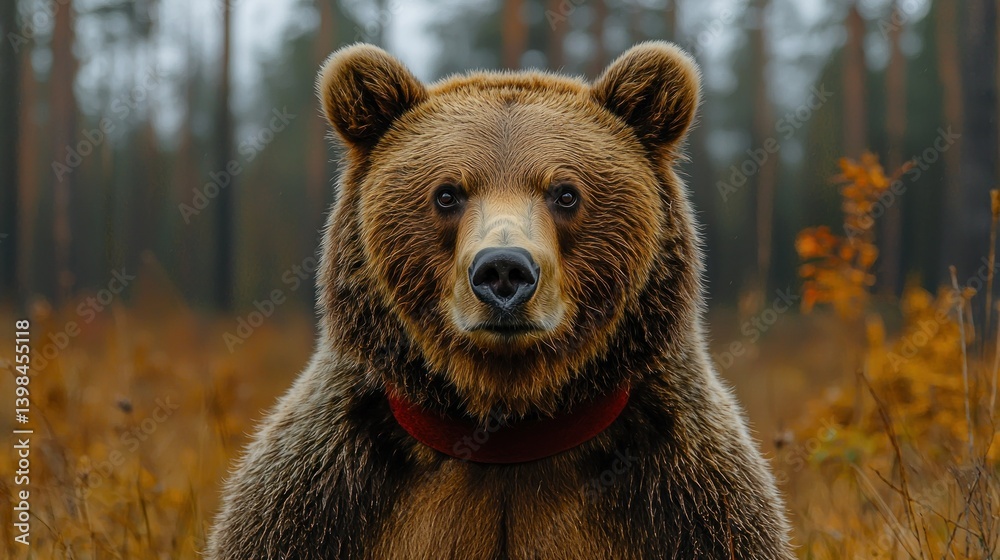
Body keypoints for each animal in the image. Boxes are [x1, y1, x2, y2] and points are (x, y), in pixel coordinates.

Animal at [208, 41, 795, 559]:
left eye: (566, 193)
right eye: (447, 193)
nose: (504, 271)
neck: (510, 432)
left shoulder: (681, 502)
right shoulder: (328, 501)